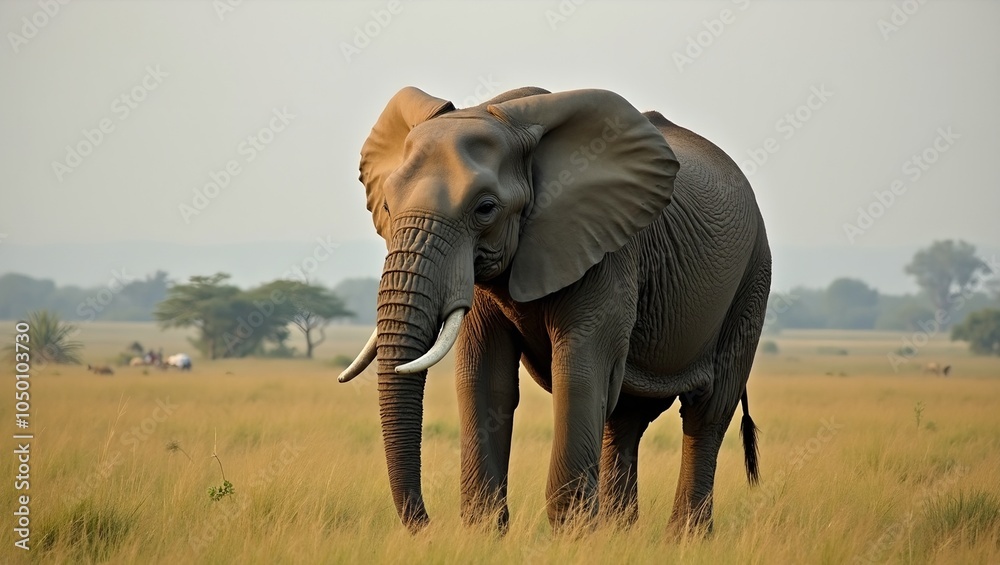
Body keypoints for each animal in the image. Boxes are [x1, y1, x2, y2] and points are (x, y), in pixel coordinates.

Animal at [339, 85, 771, 536]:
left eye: (485, 208)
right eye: (387, 206)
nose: (427, 525)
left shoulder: (606, 250)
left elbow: (578, 375)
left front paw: (571, 535)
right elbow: (484, 377)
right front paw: (485, 533)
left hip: (752, 280)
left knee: (707, 413)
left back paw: (684, 538)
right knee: (625, 415)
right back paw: (620, 534)